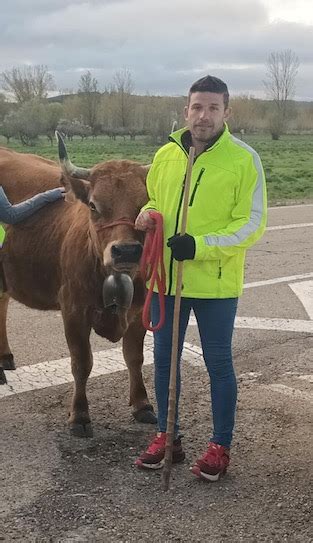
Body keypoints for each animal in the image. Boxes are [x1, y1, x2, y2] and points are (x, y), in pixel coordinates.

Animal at [0, 133, 155, 438]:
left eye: (144, 203)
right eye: (93, 206)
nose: (126, 251)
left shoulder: (138, 311)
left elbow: (134, 357)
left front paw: (142, 404)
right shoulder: (73, 310)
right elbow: (82, 363)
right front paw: (80, 416)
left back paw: (5, 357)